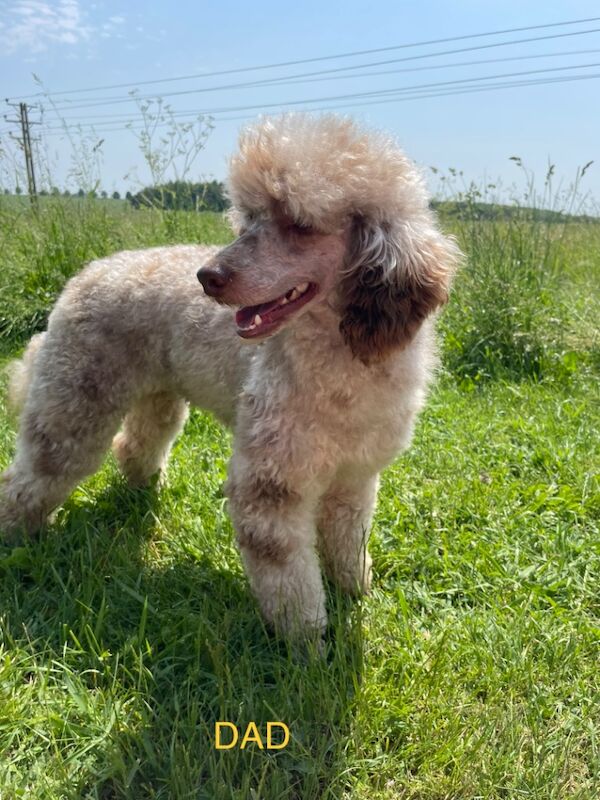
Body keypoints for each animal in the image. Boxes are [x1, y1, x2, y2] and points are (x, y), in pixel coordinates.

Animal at [0, 114, 460, 636]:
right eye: (251, 218)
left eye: (300, 225)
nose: (207, 276)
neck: (343, 364)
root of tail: (84, 274)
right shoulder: (271, 485)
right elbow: (288, 576)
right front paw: (308, 642)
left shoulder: (354, 479)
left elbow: (348, 548)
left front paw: (356, 598)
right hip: (74, 405)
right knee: (30, 478)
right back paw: (18, 539)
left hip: (156, 396)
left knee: (136, 444)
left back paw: (143, 491)